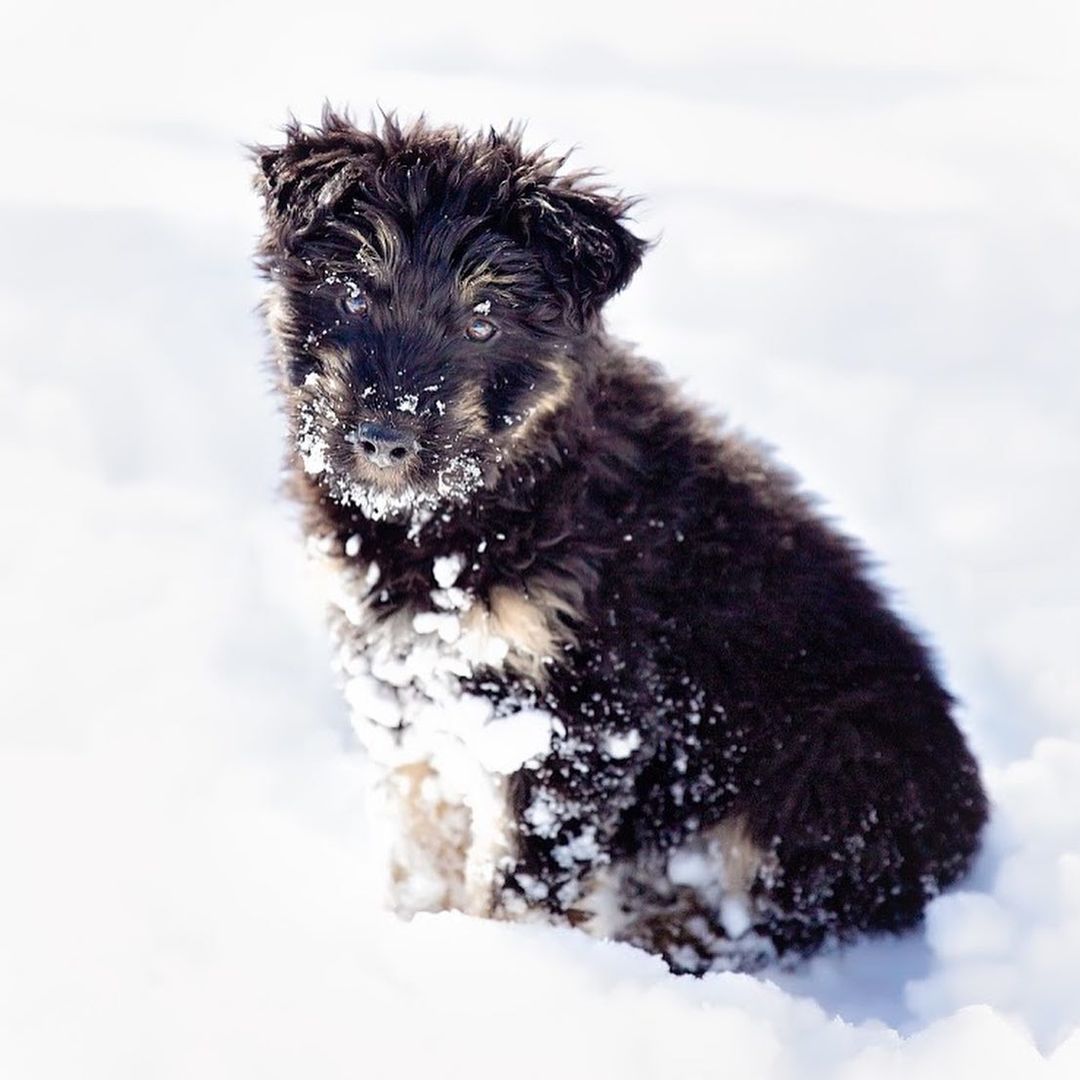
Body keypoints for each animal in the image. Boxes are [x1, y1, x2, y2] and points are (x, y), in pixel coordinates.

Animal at [252, 109, 989, 972]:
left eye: (483, 321)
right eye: (351, 291)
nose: (383, 438)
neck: (462, 520)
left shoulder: (576, 713)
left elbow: (520, 875)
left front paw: (499, 963)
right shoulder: (402, 678)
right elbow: (423, 827)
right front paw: (418, 927)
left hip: (833, 769)